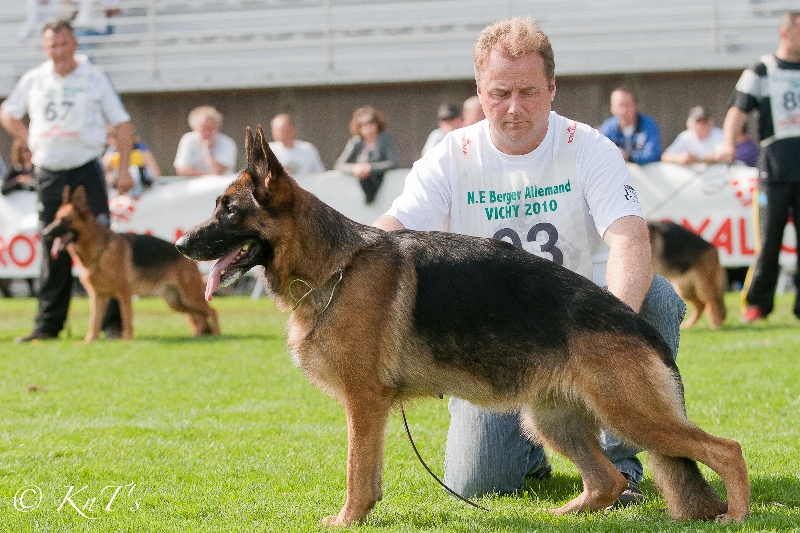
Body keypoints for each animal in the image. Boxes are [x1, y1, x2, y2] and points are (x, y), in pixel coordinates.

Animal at [43, 184, 219, 340]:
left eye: (65, 220)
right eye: (55, 219)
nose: (45, 233)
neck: (101, 250)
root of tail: (186, 256)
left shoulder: (124, 293)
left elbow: (126, 320)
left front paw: (126, 341)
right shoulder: (98, 296)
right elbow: (94, 322)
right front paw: (89, 341)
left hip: (189, 297)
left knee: (212, 311)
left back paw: (216, 335)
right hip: (177, 302)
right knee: (199, 317)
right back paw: (199, 336)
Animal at [175, 125, 752, 528]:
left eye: (228, 211)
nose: (180, 244)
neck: (336, 266)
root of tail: (637, 327)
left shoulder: (364, 402)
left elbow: (357, 472)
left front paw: (347, 520)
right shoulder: (370, 408)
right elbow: (367, 472)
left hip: (629, 414)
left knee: (727, 449)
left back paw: (738, 514)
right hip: (553, 420)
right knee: (606, 481)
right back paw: (563, 514)